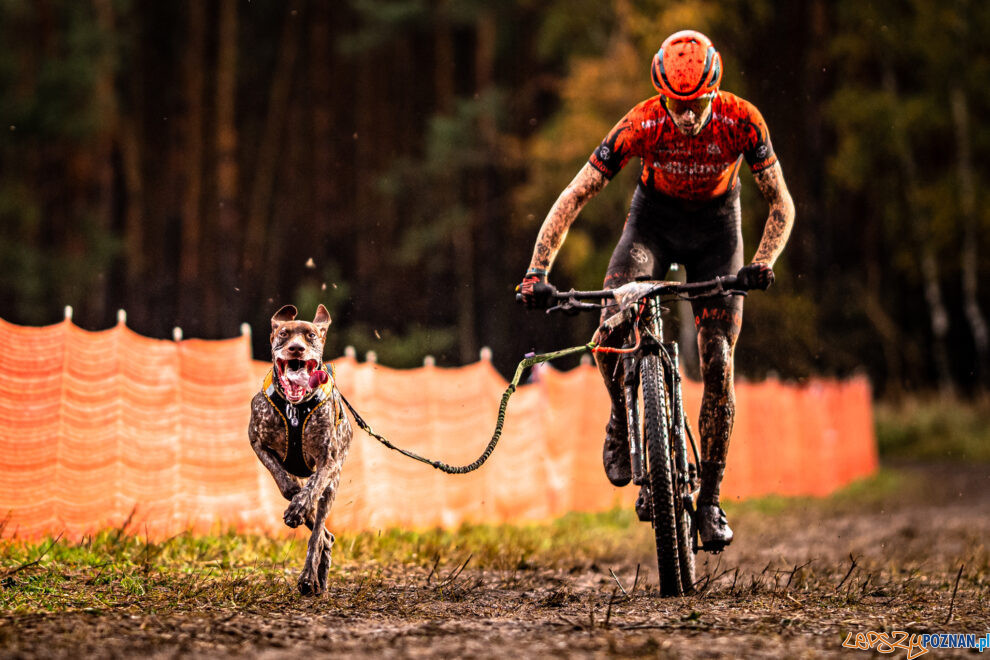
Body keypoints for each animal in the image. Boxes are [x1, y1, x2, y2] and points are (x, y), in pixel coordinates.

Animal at [248, 306, 352, 596]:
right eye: (284, 333)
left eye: (311, 335)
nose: (296, 348)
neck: (295, 408)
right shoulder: (256, 440)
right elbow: (281, 478)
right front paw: (293, 492)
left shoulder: (328, 461)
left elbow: (313, 488)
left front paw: (299, 506)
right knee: (326, 536)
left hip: (333, 485)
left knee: (319, 533)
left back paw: (310, 578)